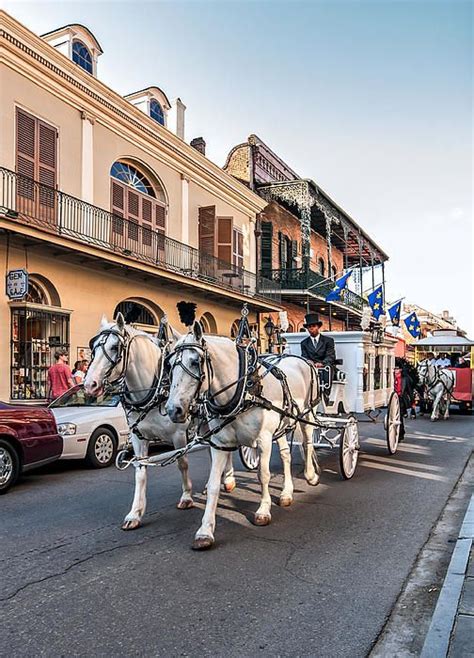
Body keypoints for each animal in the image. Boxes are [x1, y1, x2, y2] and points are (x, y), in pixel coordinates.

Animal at [84, 312, 237, 528]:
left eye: (115, 347)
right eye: (94, 347)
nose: (90, 384)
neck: (155, 388)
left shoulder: (179, 434)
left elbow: (182, 463)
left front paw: (186, 496)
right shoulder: (138, 436)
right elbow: (140, 471)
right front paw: (135, 513)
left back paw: (229, 478)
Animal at [165, 318, 320, 548]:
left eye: (195, 361)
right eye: (169, 365)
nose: (172, 410)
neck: (245, 388)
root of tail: (298, 358)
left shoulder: (264, 440)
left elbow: (263, 475)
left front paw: (263, 510)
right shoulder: (220, 444)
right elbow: (213, 485)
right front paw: (205, 530)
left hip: (307, 414)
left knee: (308, 443)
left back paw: (310, 475)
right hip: (282, 424)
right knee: (285, 455)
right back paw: (286, 493)